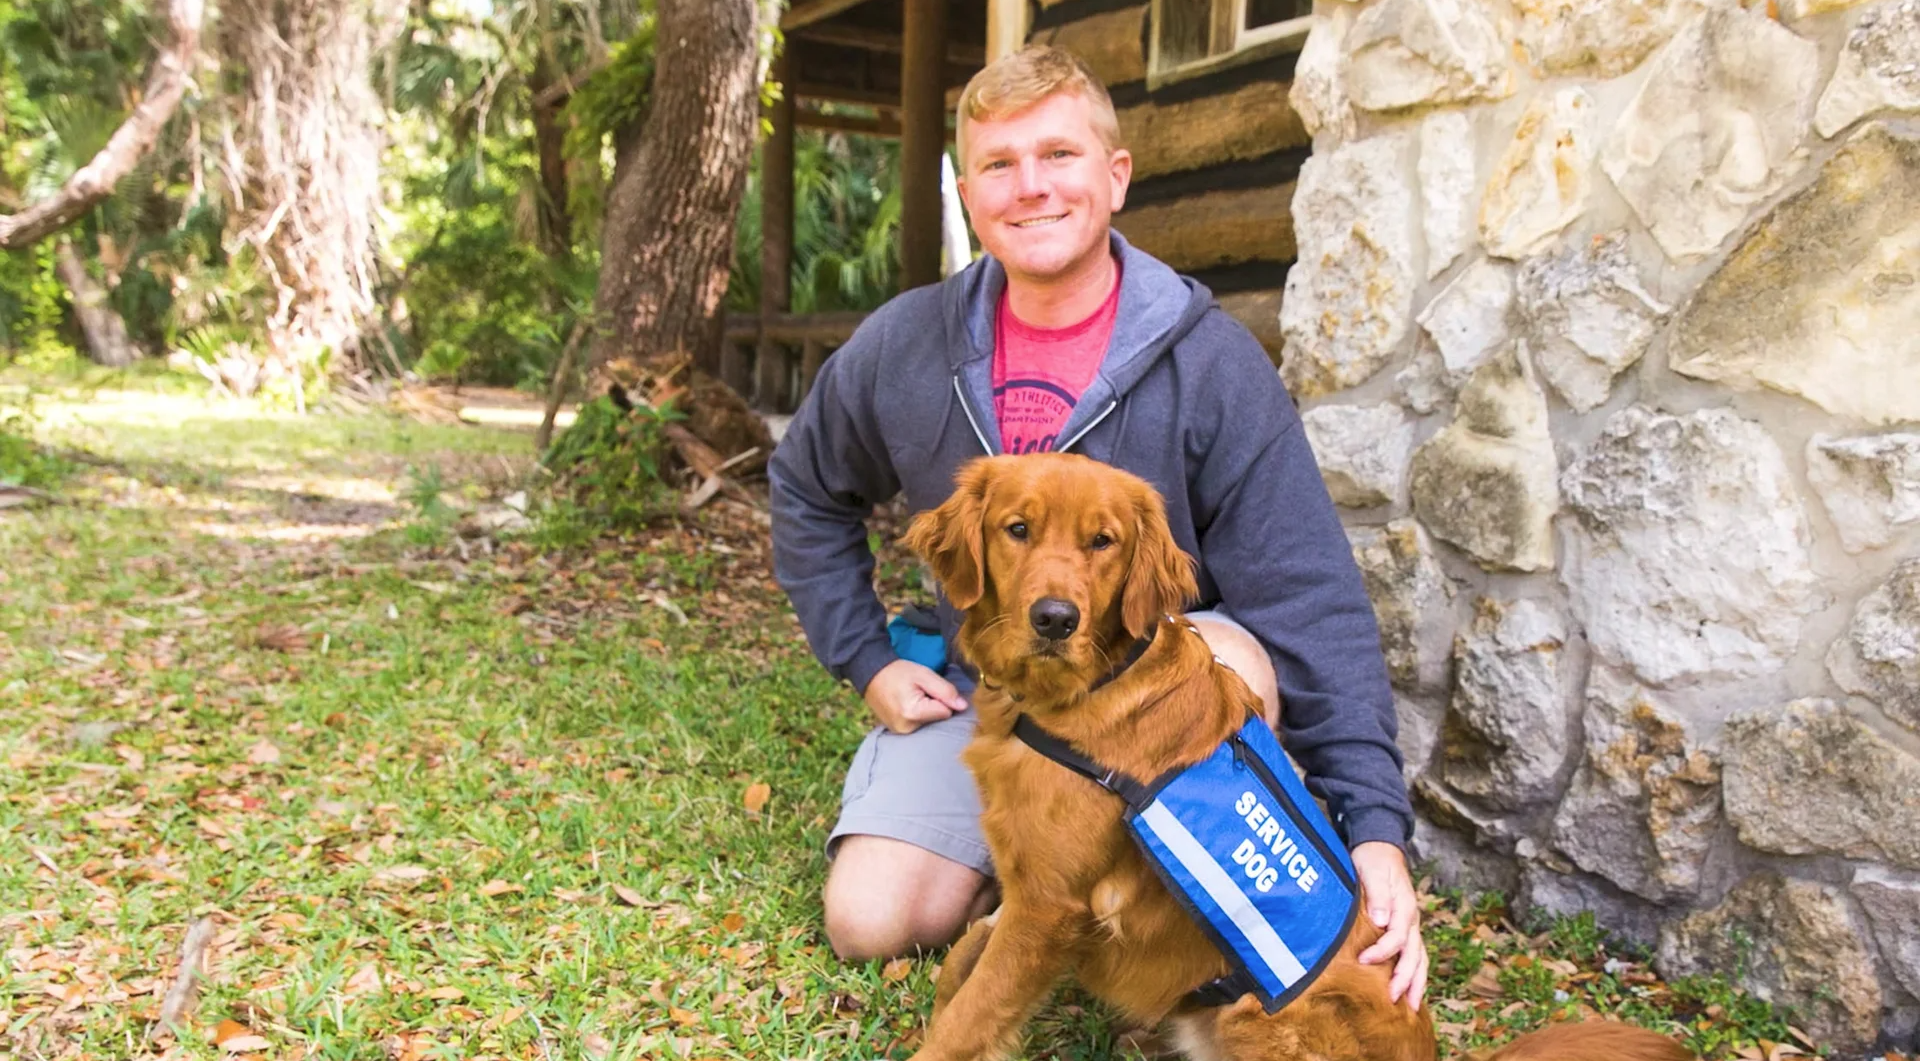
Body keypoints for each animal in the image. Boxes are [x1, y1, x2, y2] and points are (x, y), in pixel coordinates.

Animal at [898, 452, 1697, 1059]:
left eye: (1104, 541)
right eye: (1018, 529)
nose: (1055, 620)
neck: (1085, 690)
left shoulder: (1052, 904)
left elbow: (967, 1016)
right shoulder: (1026, 887)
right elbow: (964, 962)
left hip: (1263, 1014)